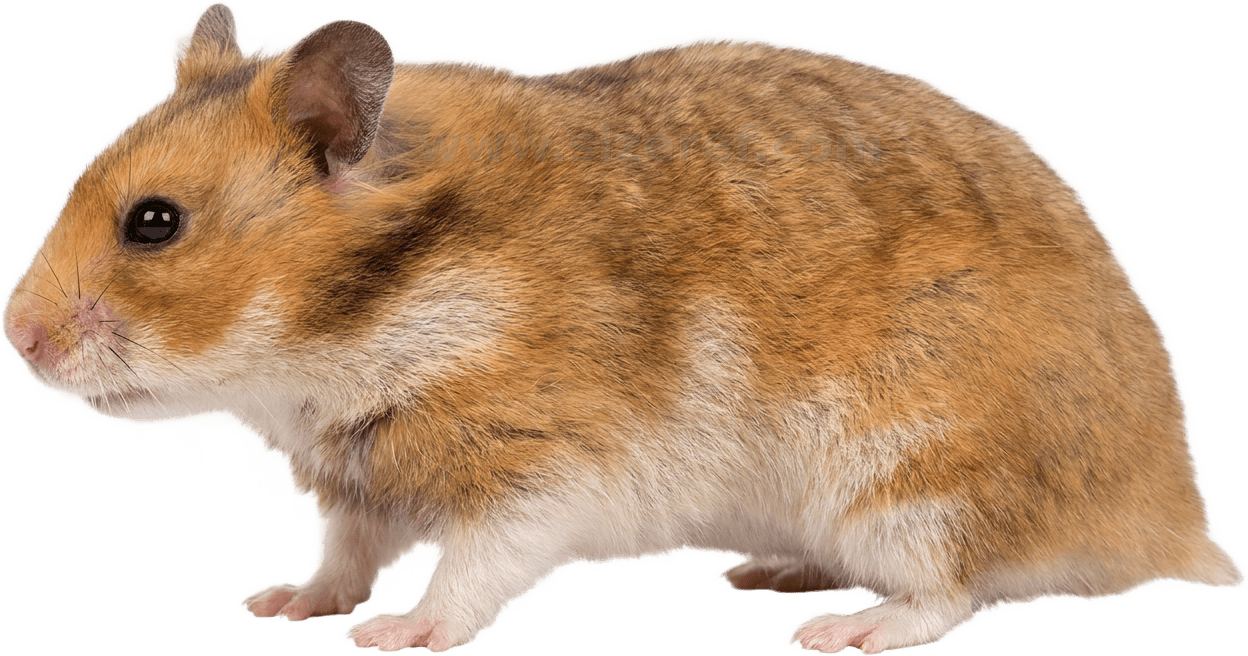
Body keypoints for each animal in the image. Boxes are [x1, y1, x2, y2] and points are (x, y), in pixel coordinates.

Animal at [3, 2, 1242, 653]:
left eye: (154, 222)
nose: (17, 338)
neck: (349, 331)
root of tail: (1180, 519)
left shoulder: (537, 472)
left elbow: (467, 573)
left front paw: (388, 636)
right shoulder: (358, 485)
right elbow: (339, 557)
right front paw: (279, 603)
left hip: (915, 470)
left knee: (946, 594)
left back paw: (835, 627)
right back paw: (767, 573)